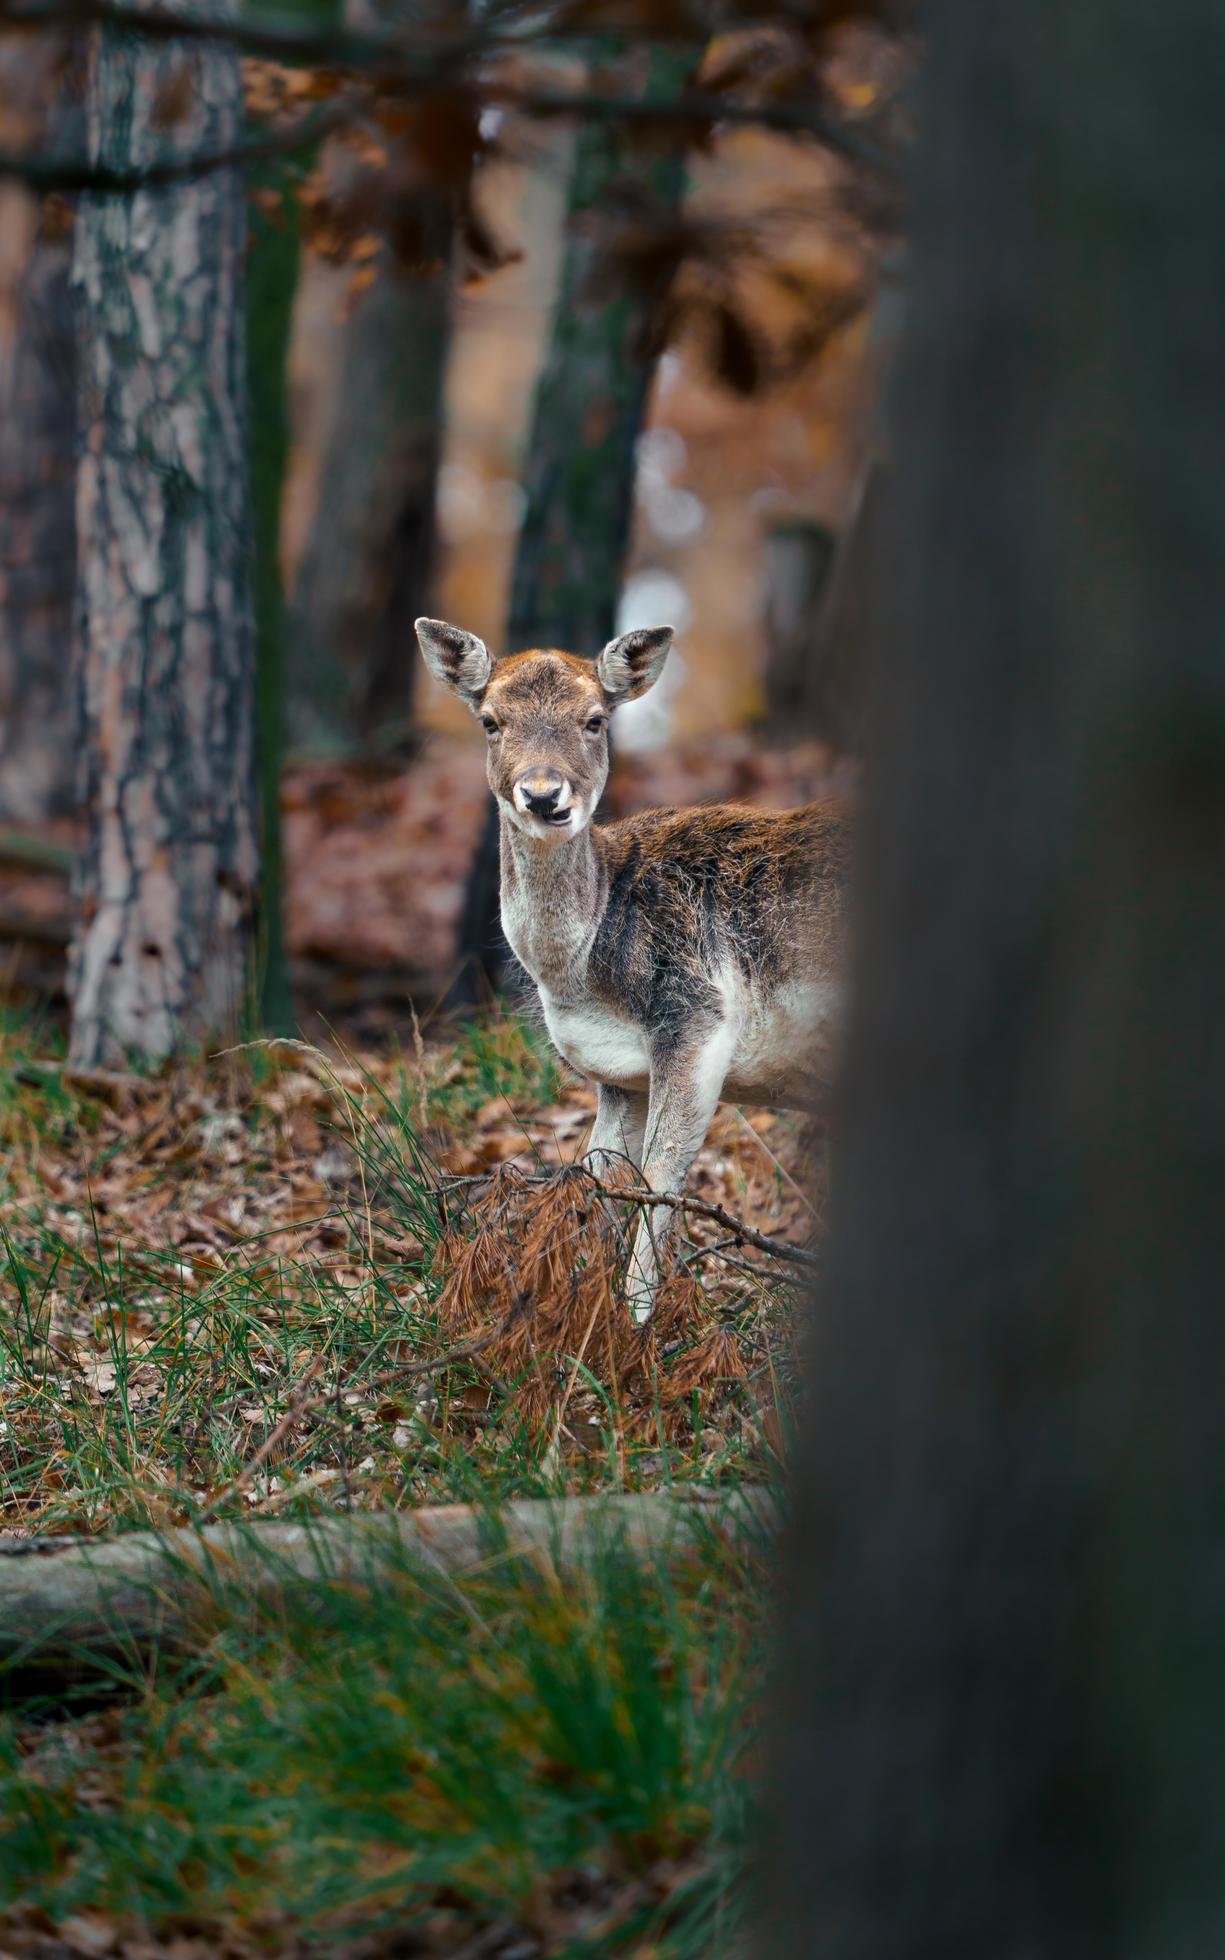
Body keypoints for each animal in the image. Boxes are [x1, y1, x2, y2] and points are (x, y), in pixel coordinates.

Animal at [415, 611, 846, 1317]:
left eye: (595, 720)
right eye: (490, 721)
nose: (543, 796)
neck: (581, 974)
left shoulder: (696, 1017)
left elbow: (662, 1181)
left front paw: (637, 1323)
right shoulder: (619, 1075)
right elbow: (600, 1177)